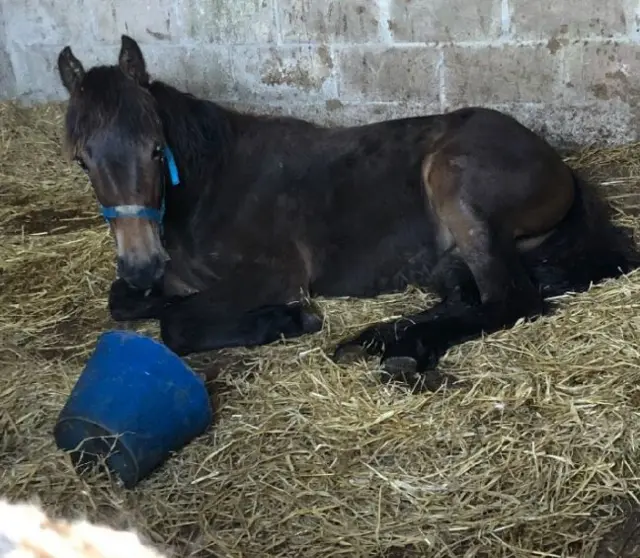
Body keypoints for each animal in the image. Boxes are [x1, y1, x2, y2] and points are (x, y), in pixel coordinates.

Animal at [56, 35, 640, 394]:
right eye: (81, 159)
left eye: (156, 149)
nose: (142, 263)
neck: (210, 187)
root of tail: (556, 161)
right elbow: (124, 301)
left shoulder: (274, 273)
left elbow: (175, 324)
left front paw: (288, 320)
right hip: (450, 255)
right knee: (468, 297)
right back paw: (388, 343)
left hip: (456, 190)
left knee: (511, 300)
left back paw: (396, 346)